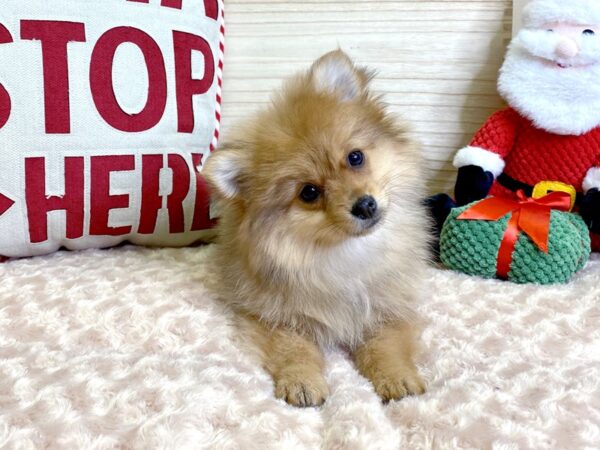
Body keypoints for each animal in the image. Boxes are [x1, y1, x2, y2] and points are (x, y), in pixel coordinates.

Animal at [204, 51, 428, 406]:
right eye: (309, 192)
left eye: (355, 157)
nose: (365, 205)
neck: (345, 255)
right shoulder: (272, 316)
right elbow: (294, 349)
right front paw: (302, 381)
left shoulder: (390, 307)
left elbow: (387, 345)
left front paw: (397, 378)